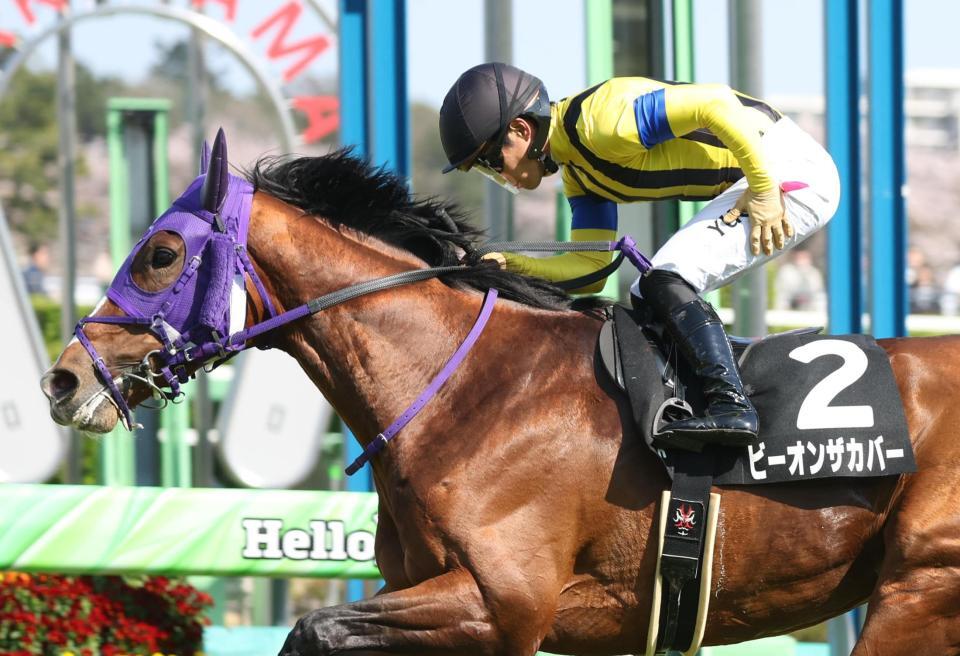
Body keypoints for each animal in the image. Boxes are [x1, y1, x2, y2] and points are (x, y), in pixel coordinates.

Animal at [39, 130, 960, 656]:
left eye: (161, 254)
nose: (62, 378)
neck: (465, 392)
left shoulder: (502, 603)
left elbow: (311, 628)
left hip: (918, 591)